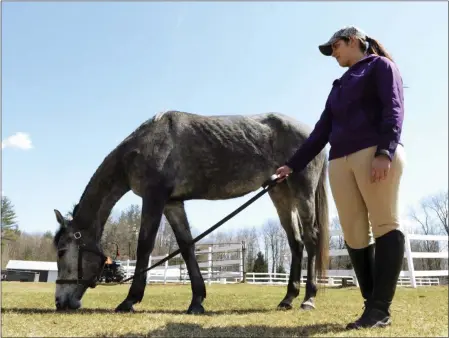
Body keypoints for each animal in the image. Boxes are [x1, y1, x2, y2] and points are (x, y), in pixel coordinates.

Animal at [51, 111, 328, 314]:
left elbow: (144, 245)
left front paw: (130, 300)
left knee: (311, 239)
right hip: (280, 193)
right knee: (296, 242)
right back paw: (288, 298)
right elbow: (186, 247)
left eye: (62, 251)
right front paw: (197, 301)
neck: (146, 145)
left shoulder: (154, 198)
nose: (59, 302)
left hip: (302, 191)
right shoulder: (173, 203)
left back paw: (308, 298)